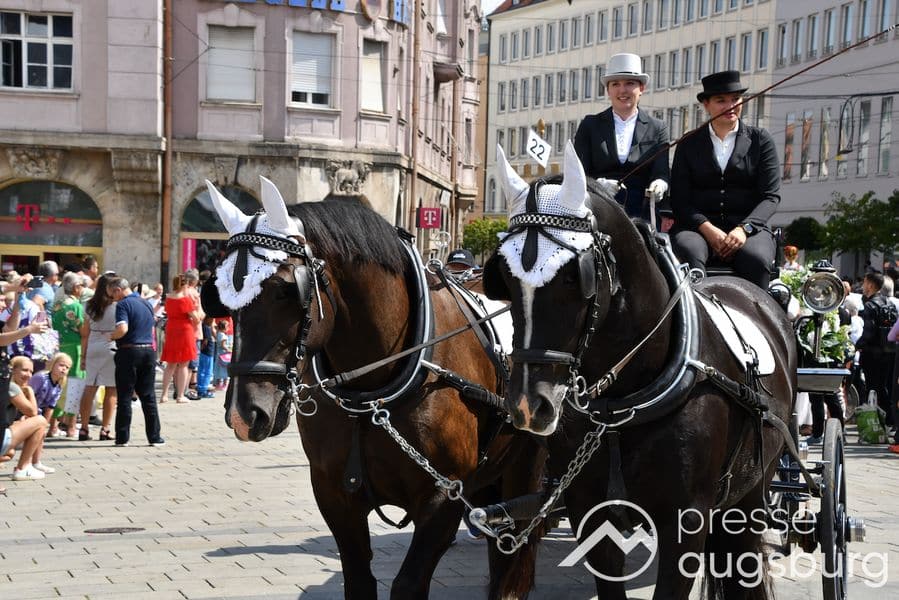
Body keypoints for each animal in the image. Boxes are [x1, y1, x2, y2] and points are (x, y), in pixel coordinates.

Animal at [200, 179, 546, 600]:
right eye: (218, 294)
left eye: (284, 290)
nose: (245, 413)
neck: (373, 393)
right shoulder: (334, 495)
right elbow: (359, 581)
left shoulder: (442, 498)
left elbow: (408, 583)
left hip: (525, 466)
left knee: (514, 551)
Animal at [482, 142, 797, 600]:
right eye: (503, 278)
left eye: (573, 278)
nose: (527, 405)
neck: (621, 405)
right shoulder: (591, 513)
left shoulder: (686, 522)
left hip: (753, 492)